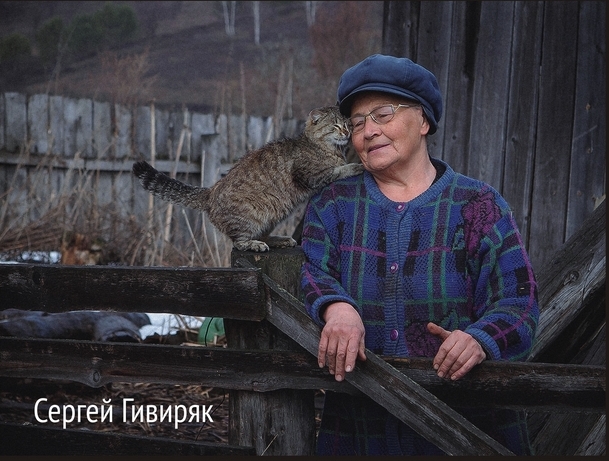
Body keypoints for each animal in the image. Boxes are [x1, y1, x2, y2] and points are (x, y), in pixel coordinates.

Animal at [132, 105, 360, 252]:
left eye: (348, 124)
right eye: (336, 126)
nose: (346, 132)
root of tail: (211, 191)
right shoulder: (312, 175)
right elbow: (337, 170)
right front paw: (354, 166)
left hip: (271, 218)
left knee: (262, 234)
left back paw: (278, 240)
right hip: (249, 216)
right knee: (239, 242)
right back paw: (254, 245)